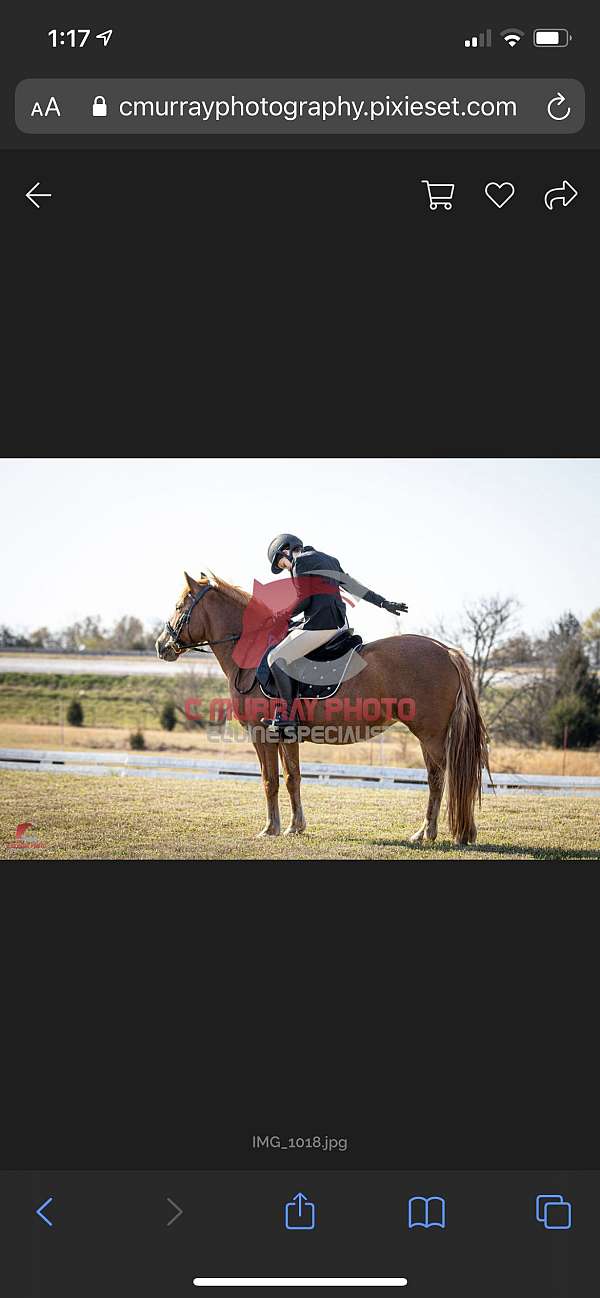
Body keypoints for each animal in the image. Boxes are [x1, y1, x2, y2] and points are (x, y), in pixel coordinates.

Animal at [157, 568, 490, 841]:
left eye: (178, 607)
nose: (162, 646)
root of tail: (445, 650)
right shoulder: (286, 735)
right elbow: (292, 778)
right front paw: (295, 827)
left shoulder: (261, 735)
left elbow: (269, 781)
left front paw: (270, 829)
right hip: (428, 735)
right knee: (437, 777)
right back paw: (434, 832)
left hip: (430, 734)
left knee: (443, 777)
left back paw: (441, 833)